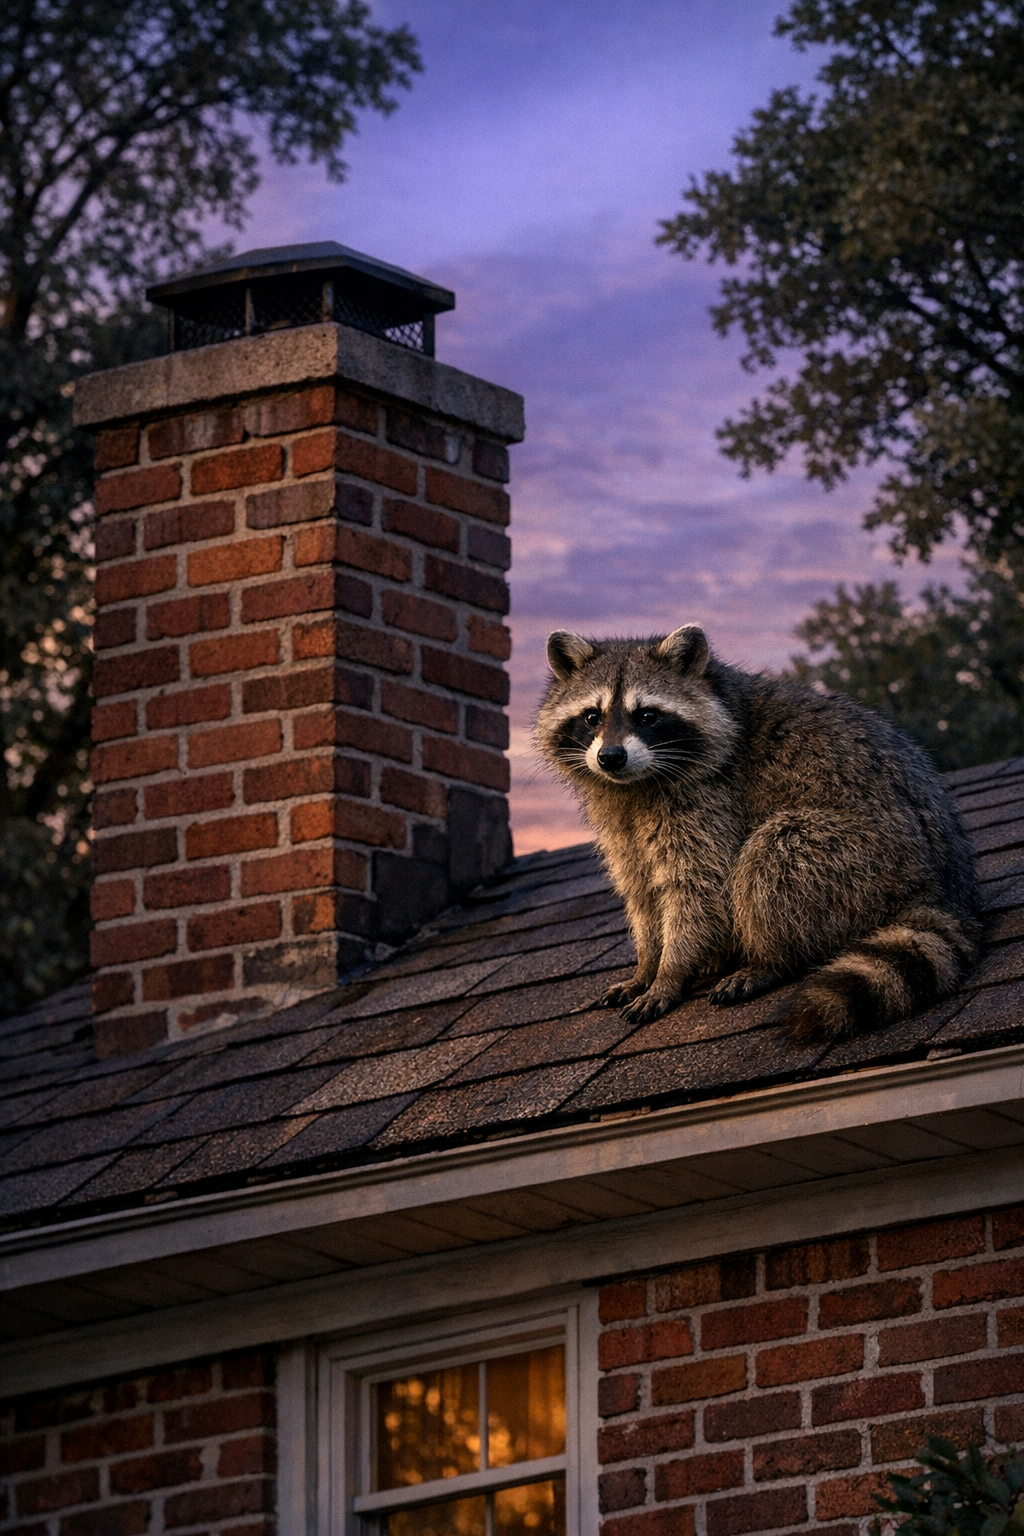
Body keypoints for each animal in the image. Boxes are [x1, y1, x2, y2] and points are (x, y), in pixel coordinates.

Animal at [535, 624, 980, 1040]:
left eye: (647, 715)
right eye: (592, 716)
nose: (610, 757)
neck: (634, 784)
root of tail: (944, 887)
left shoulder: (711, 797)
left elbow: (698, 886)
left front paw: (670, 972)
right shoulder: (617, 817)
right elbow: (640, 888)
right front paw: (646, 965)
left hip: (867, 857)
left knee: (775, 854)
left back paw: (770, 959)